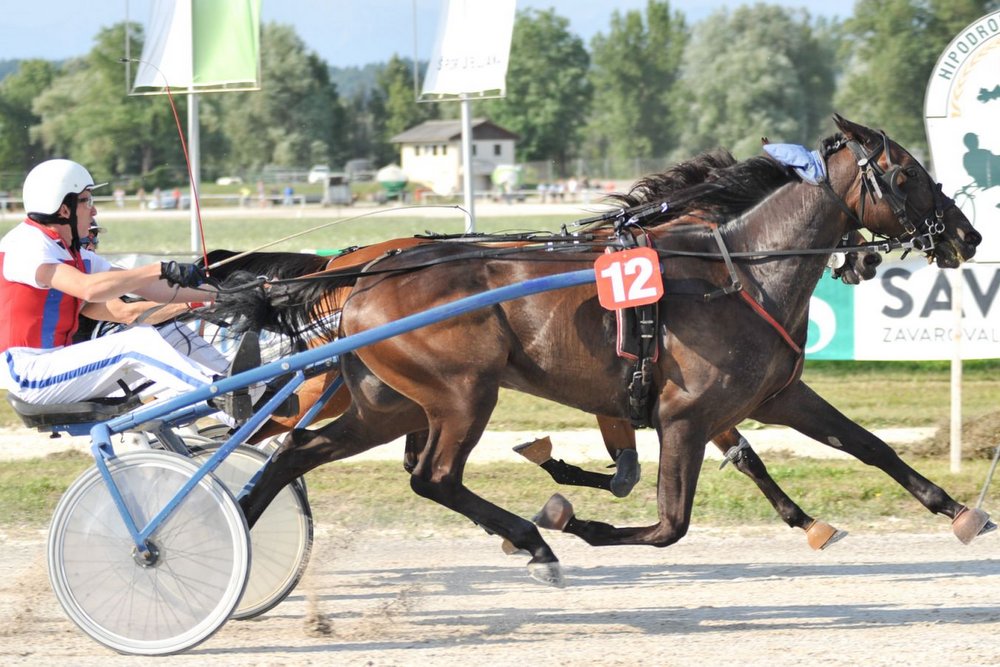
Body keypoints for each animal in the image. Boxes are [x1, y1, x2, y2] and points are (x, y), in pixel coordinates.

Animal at [215, 115, 988, 584]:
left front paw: (957, 510)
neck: (735, 270)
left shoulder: (777, 394)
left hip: (390, 404)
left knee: (297, 452)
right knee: (431, 477)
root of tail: (362, 274)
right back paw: (534, 540)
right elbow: (671, 522)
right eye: (908, 172)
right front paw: (568, 517)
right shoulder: (685, 415)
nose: (968, 235)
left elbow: (869, 445)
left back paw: (228, 537)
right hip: (463, 395)